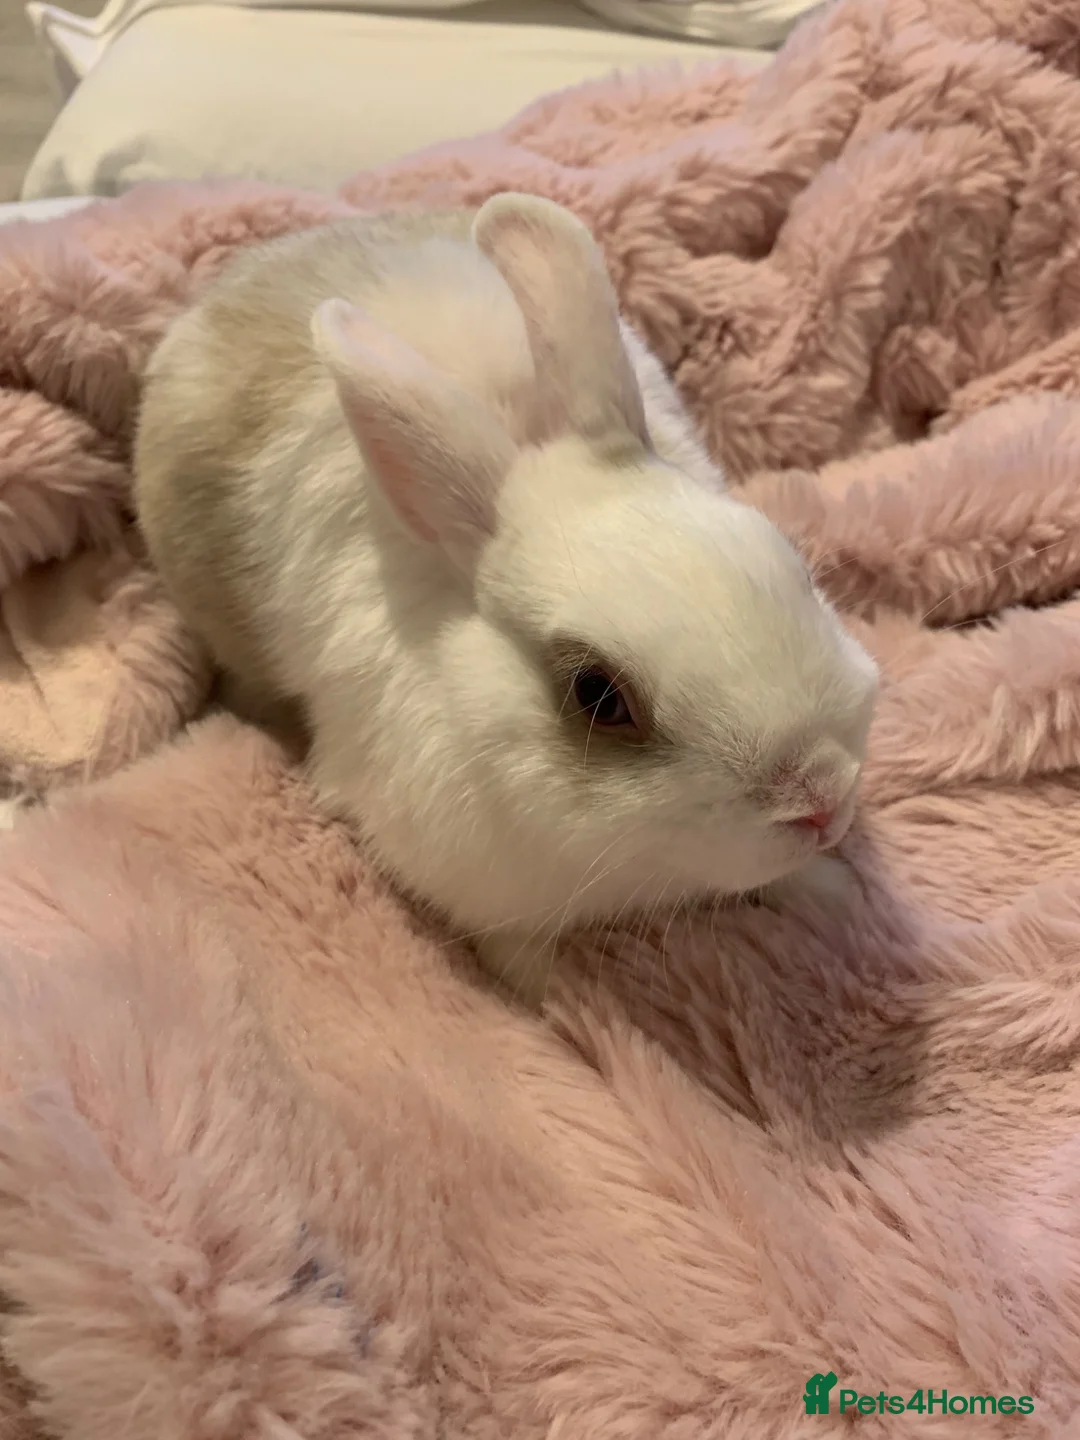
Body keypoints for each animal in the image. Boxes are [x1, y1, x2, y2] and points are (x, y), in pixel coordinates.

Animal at [133, 193, 879, 1005]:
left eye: (793, 566)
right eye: (598, 695)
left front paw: (833, 891)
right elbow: (512, 948)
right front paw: (547, 997)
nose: (823, 796)